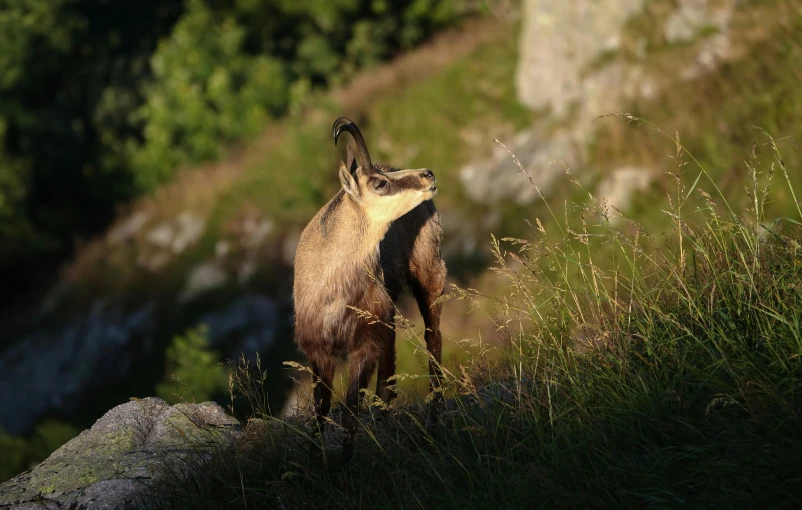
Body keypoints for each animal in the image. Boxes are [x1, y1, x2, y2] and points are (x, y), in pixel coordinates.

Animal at [292, 116, 446, 458]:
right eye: (379, 183)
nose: (428, 174)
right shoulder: (318, 349)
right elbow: (320, 410)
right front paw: (313, 458)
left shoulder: (363, 340)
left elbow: (350, 409)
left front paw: (345, 462)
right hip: (387, 312)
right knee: (390, 366)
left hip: (428, 272)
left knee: (433, 337)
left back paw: (433, 422)